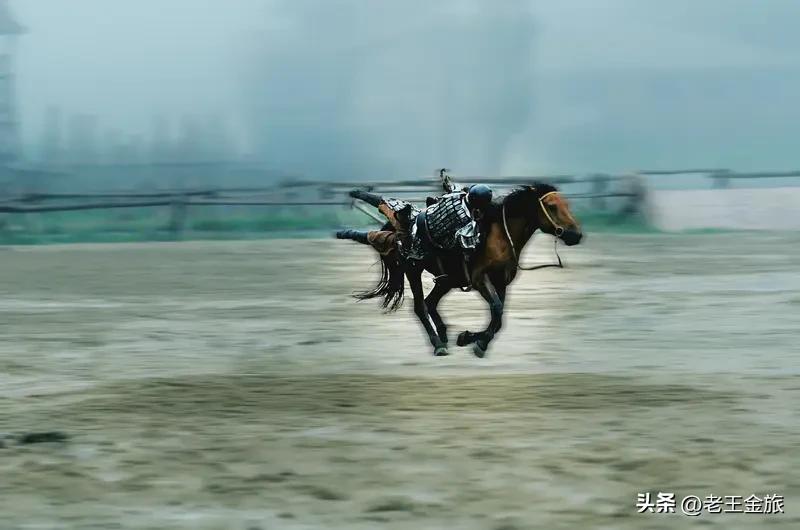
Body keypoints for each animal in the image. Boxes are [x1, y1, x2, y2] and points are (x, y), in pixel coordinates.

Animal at [335, 183, 583, 357]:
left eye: (567, 205)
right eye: (551, 206)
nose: (576, 235)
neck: (499, 236)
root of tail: (402, 233)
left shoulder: (501, 281)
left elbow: (499, 316)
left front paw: (469, 337)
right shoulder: (480, 279)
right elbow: (497, 309)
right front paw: (478, 342)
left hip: (446, 280)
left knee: (430, 302)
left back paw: (444, 334)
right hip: (412, 269)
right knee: (420, 306)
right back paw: (437, 344)